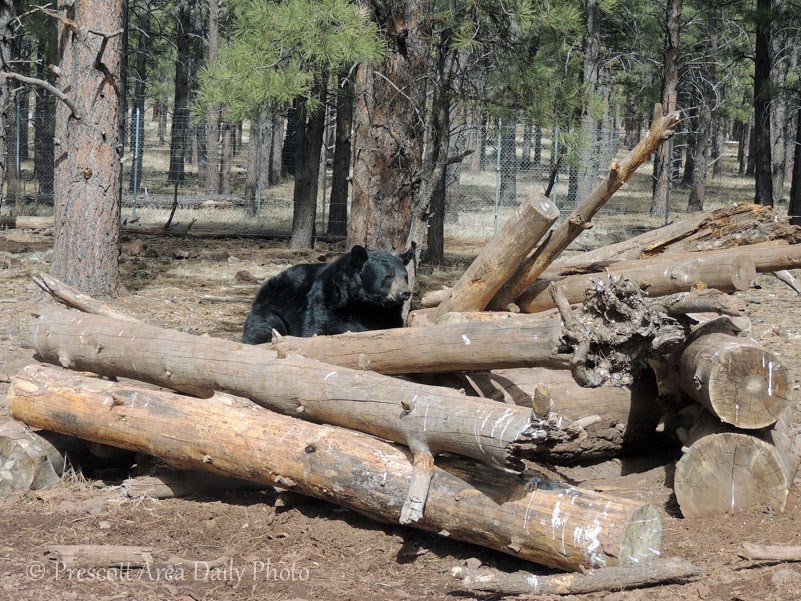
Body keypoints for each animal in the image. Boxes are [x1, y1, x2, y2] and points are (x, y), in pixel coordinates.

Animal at [242, 245, 414, 344]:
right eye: (388, 276)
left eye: (405, 276)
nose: (405, 293)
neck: (366, 305)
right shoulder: (326, 303)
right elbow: (316, 329)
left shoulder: (389, 315)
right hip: (272, 308)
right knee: (263, 329)